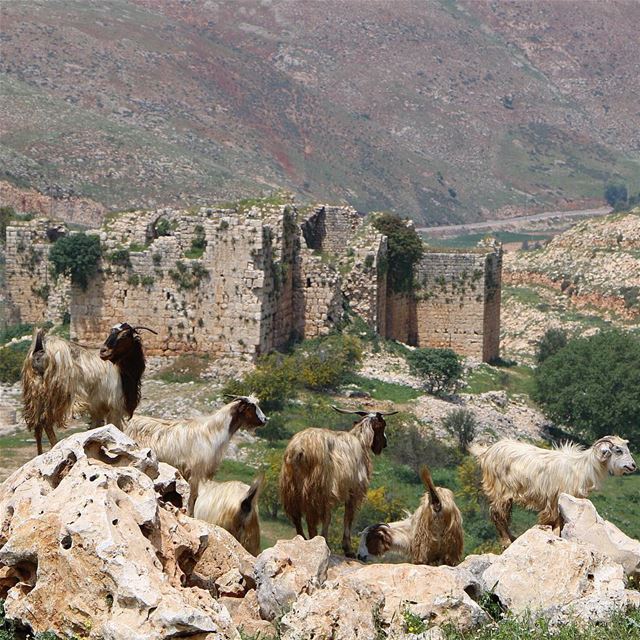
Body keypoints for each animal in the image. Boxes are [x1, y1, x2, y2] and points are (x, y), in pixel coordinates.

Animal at [21, 320, 154, 456]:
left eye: (125, 335)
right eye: (111, 332)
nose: (103, 351)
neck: (122, 369)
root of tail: (40, 348)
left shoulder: (97, 407)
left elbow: (96, 427)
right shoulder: (114, 405)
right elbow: (113, 427)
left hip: (35, 392)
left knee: (37, 424)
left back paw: (40, 453)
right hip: (57, 394)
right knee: (45, 421)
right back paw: (54, 446)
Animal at [124, 396, 266, 516]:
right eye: (251, 407)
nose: (265, 420)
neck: (212, 432)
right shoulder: (195, 471)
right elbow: (193, 497)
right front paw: (190, 515)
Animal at [278, 408, 396, 556]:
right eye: (383, 426)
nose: (384, 444)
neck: (361, 441)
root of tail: (299, 449)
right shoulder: (354, 490)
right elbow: (348, 517)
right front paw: (348, 549)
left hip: (291, 488)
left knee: (297, 516)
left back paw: (303, 539)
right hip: (319, 487)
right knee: (317, 518)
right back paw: (320, 541)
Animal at [476, 436, 636, 544]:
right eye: (618, 450)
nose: (633, 466)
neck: (581, 468)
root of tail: (486, 452)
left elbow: (560, 522)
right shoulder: (555, 499)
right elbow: (556, 522)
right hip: (500, 490)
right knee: (497, 514)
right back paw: (507, 541)